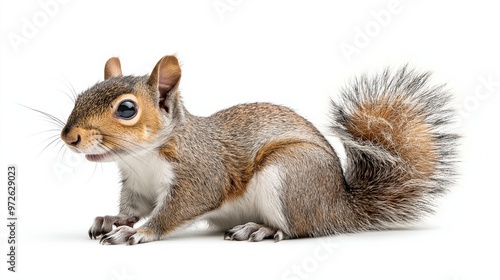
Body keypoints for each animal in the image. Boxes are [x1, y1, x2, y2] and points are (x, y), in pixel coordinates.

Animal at [59, 55, 458, 245]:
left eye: (127, 109)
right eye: (80, 97)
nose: (69, 137)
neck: (140, 159)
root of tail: (340, 208)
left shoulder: (200, 175)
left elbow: (175, 211)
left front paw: (137, 233)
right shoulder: (137, 187)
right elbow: (134, 209)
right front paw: (114, 220)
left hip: (290, 174)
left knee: (299, 229)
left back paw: (261, 230)